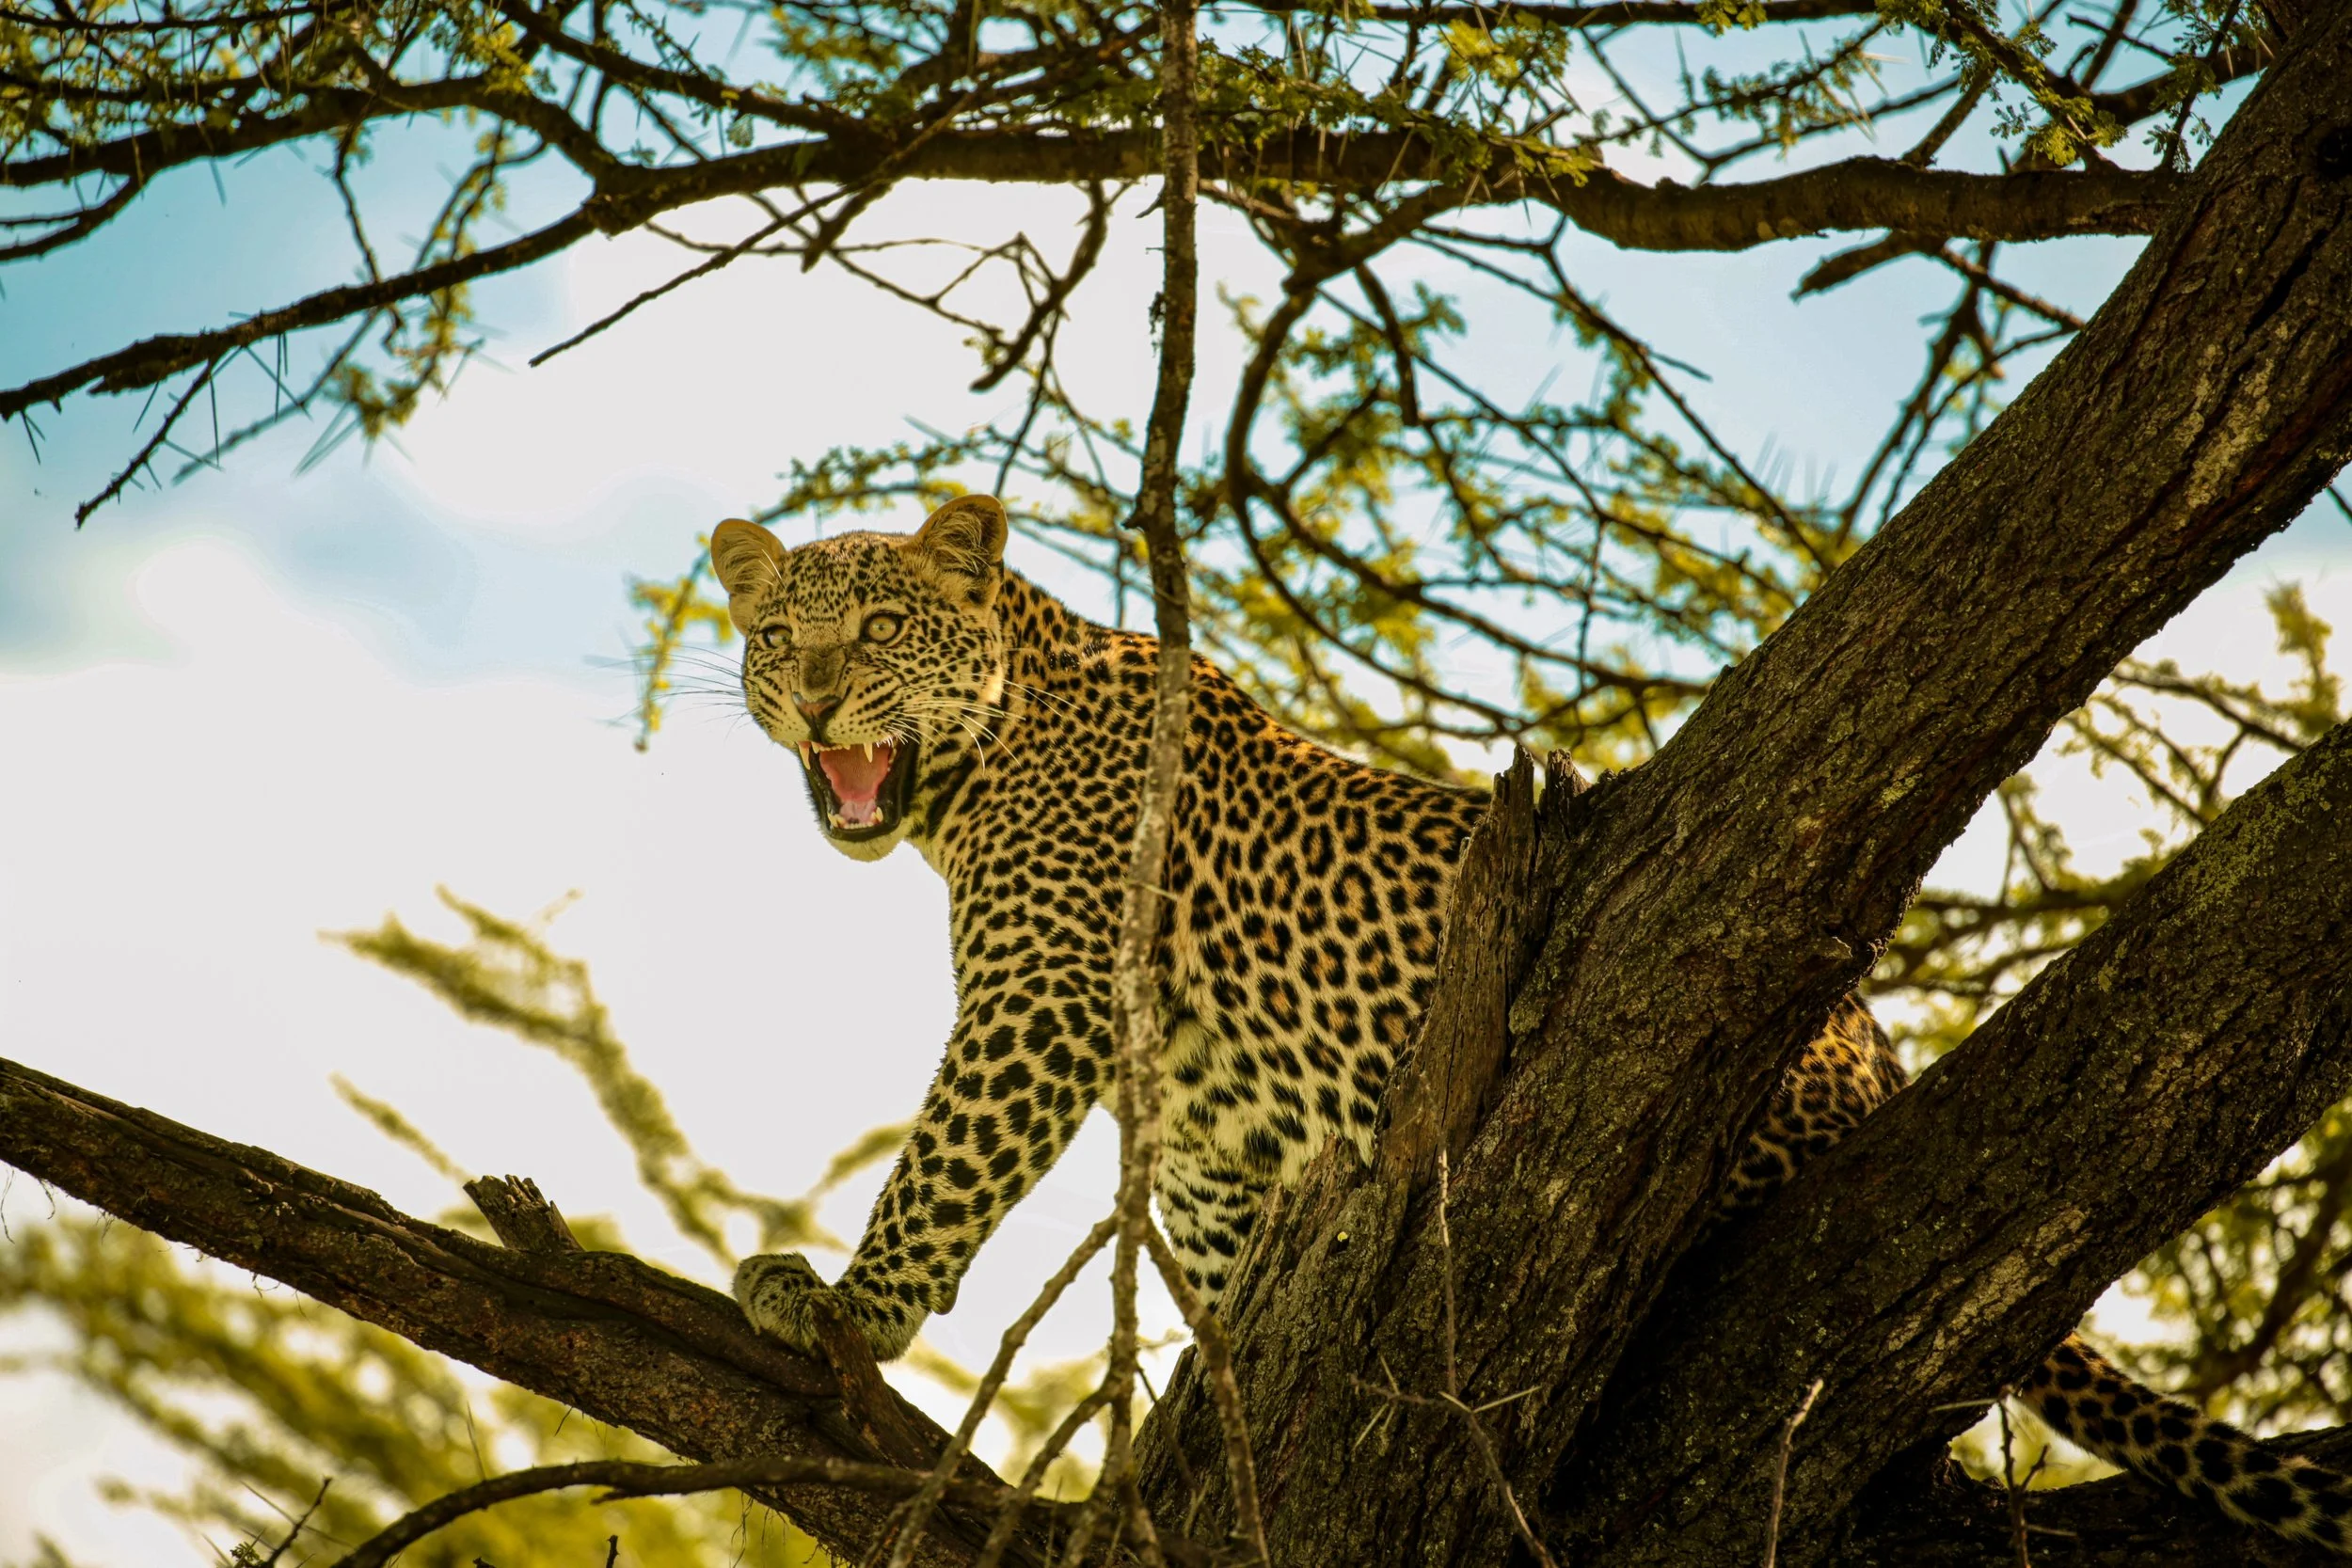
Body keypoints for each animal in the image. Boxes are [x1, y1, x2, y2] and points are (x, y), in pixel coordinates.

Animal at [710, 494, 2352, 1555]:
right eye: (779, 632)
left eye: (879, 622)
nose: (816, 693)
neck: (964, 780)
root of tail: (1874, 1067)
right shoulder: (1207, 1130)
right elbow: (1231, 1270)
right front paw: (1229, 1413)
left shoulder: (1042, 985)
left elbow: (949, 1159)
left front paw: (845, 1301)